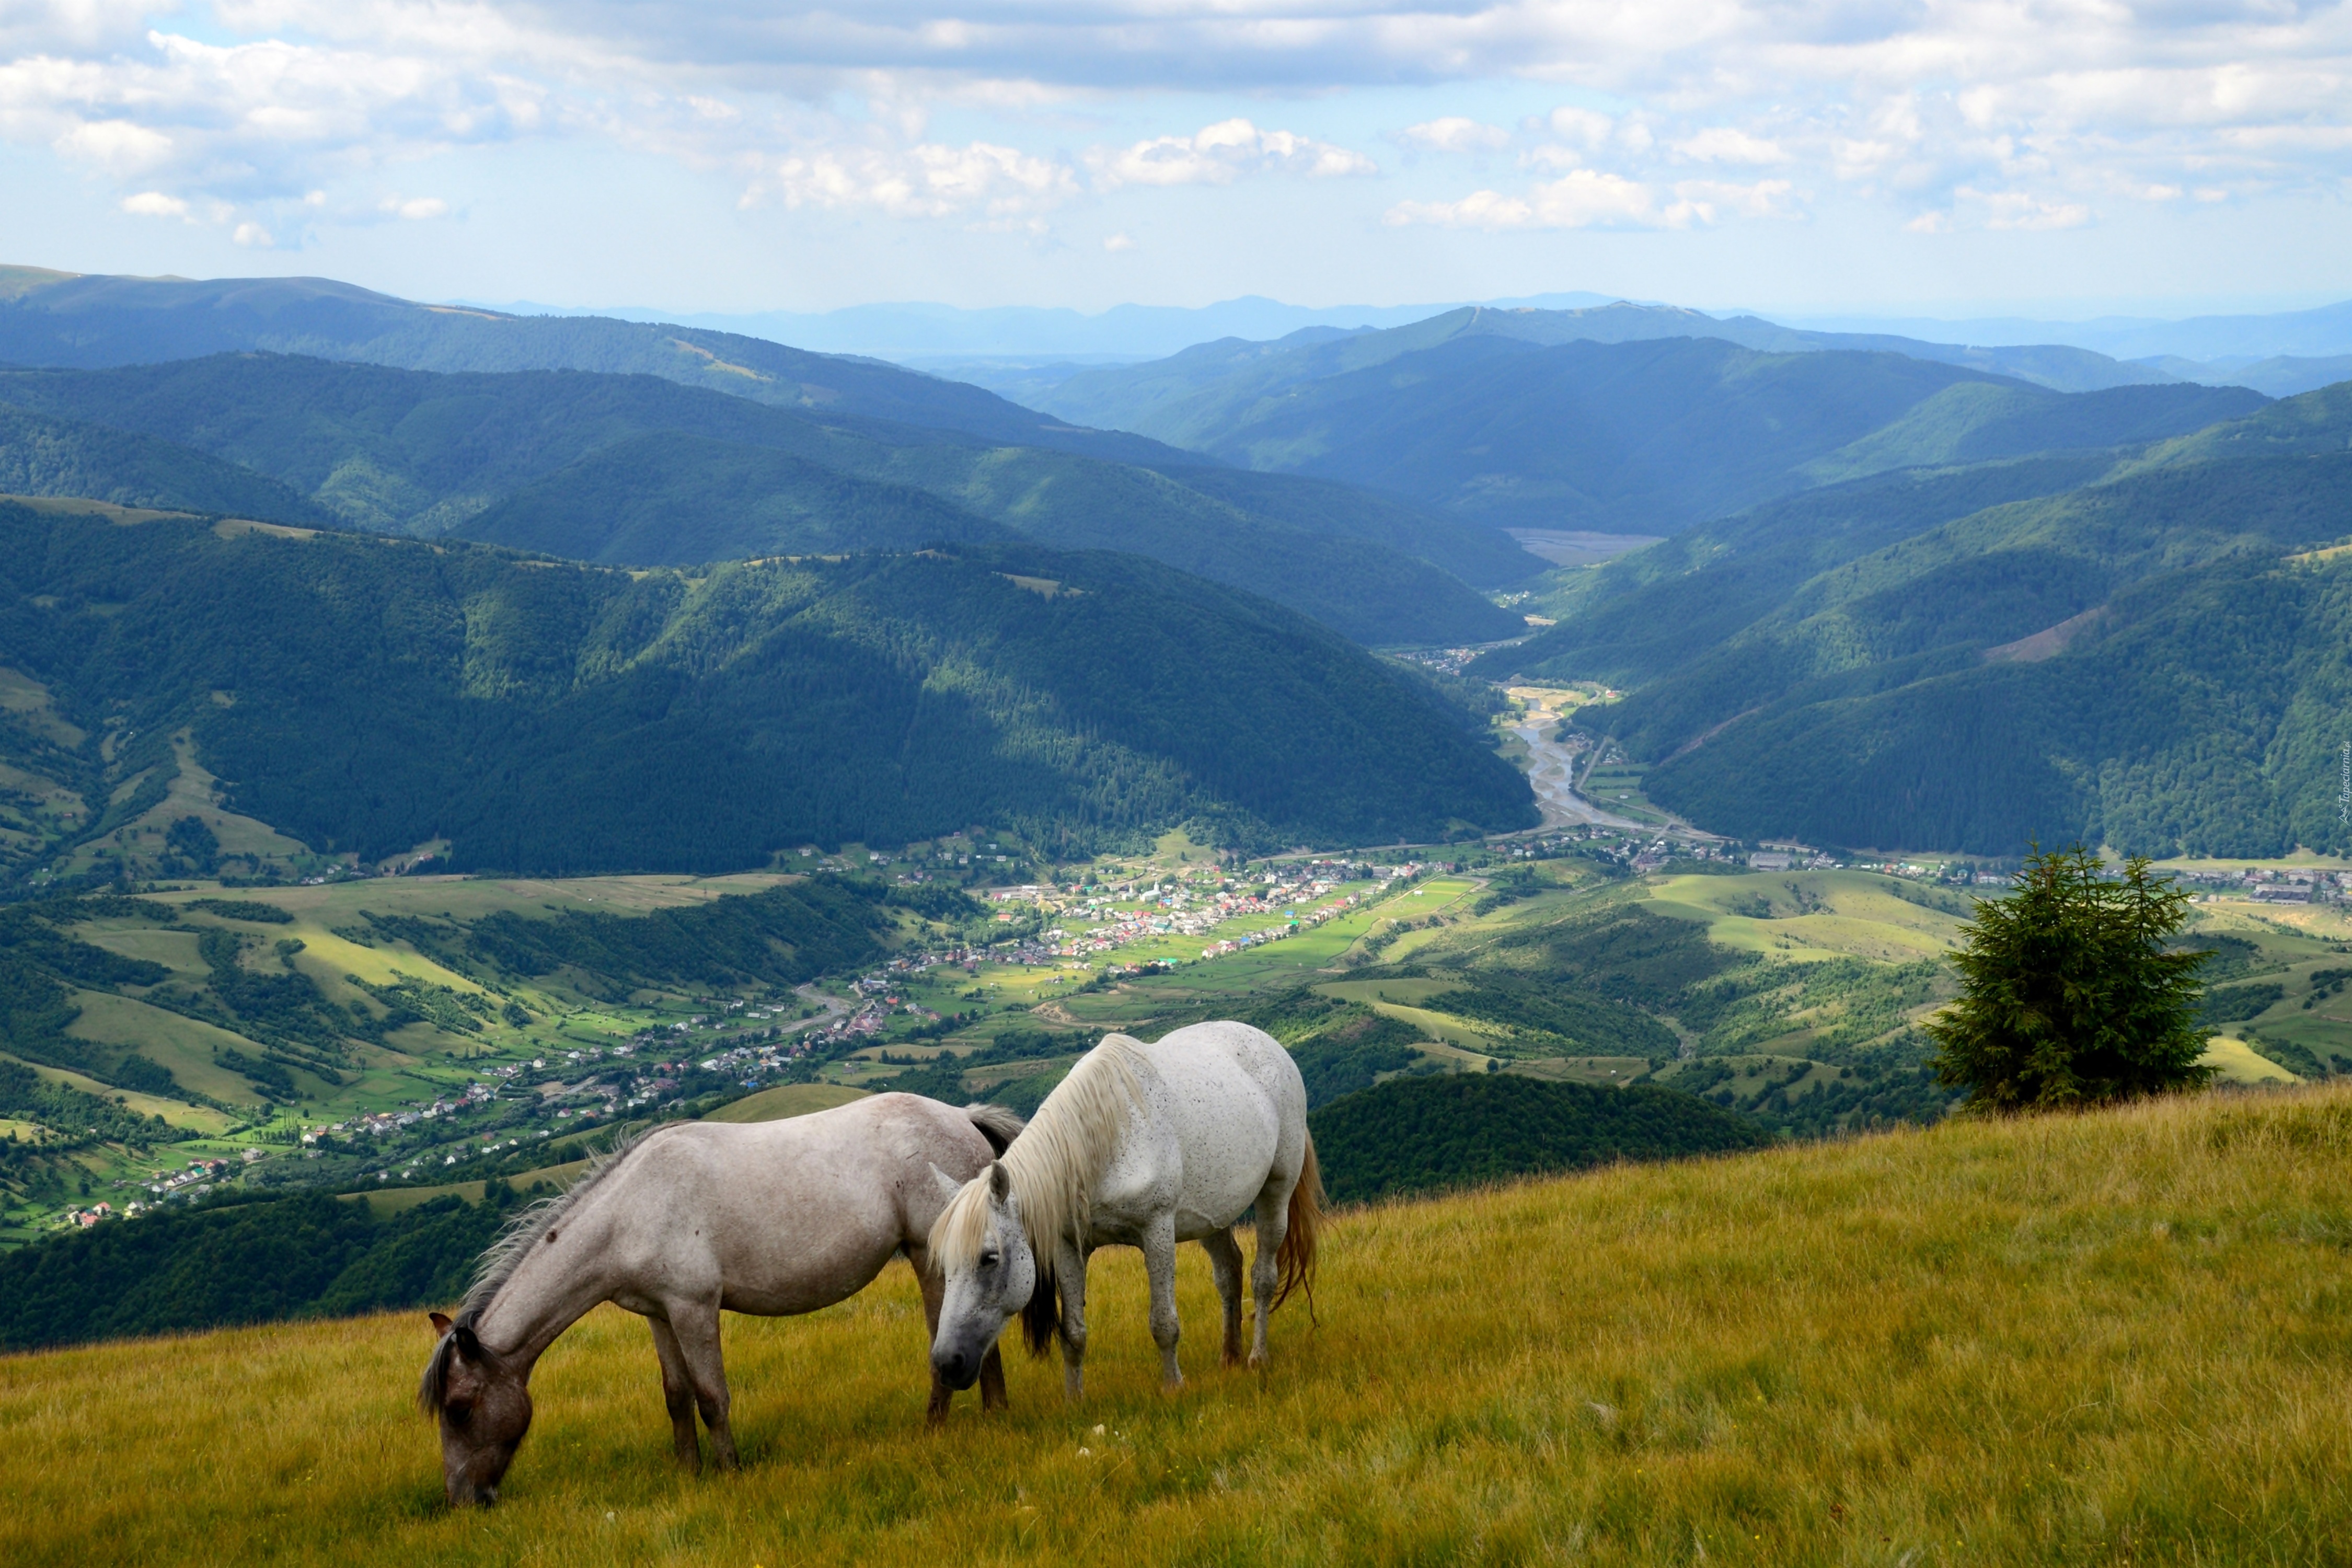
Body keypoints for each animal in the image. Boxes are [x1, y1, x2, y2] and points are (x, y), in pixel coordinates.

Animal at [416, 1090, 1021, 1504]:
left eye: (460, 1408)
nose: (464, 1501)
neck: (630, 1211)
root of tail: (961, 1116)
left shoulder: (694, 1308)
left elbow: (711, 1396)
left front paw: (729, 1472)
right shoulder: (659, 1315)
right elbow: (676, 1397)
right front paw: (689, 1474)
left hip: (929, 1257)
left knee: (946, 1342)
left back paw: (936, 1428)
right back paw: (996, 1417)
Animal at [922, 1025, 1327, 1401]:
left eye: (989, 1258)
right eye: (944, 1265)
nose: (947, 1363)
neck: (1105, 1140)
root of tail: (1270, 1044)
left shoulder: (1157, 1232)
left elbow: (1164, 1323)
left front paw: (1173, 1387)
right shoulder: (1069, 1248)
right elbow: (1073, 1333)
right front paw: (1075, 1401)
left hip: (1276, 1192)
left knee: (1263, 1277)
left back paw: (1258, 1358)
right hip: (1214, 1213)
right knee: (1229, 1273)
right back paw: (1230, 1357)